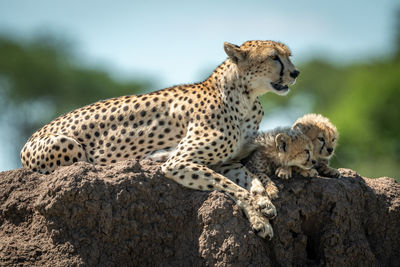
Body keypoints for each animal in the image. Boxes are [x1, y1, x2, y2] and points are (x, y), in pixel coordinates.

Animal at [20, 40, 298, 239]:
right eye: (274, 57)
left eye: (289, 55)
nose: (295, 72)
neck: (245, 97)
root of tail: (29, 139)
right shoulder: (179, 162)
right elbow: (232, 188)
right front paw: (259, 217)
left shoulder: (224, 162)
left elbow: (248, 180)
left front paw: (264, 203)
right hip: (69, 145)